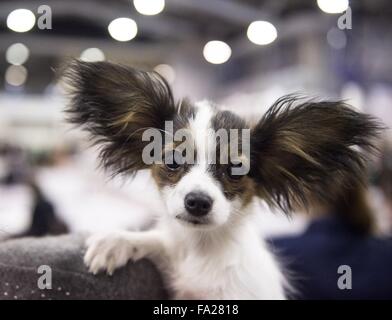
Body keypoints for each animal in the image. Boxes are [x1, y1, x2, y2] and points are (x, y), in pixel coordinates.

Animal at [62, 60, 382, 300]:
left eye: (235, 170)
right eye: (173, 161)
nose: (197, 202)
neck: (203, 249)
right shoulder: (176, 254)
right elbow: (162, 240)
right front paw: (117, 241)